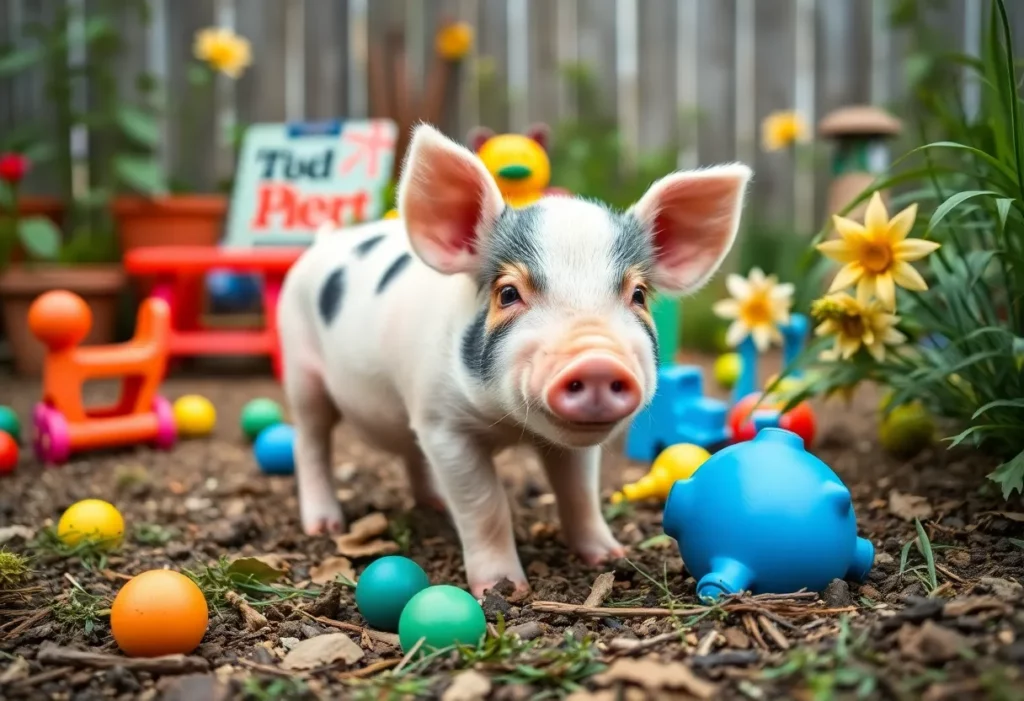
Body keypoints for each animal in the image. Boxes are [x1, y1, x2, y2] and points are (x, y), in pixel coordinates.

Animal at [277, 123, 752, 596]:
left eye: (637, 295)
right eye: (507, 293)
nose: (597, 361)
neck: (508, 426)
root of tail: (324, 242)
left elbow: (579, 492)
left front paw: (609, 556)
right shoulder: (443, 424)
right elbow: (484, 504)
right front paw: (503, 589)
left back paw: (434, 503)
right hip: (301, 368)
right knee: (310, 442)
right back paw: (324, 525)